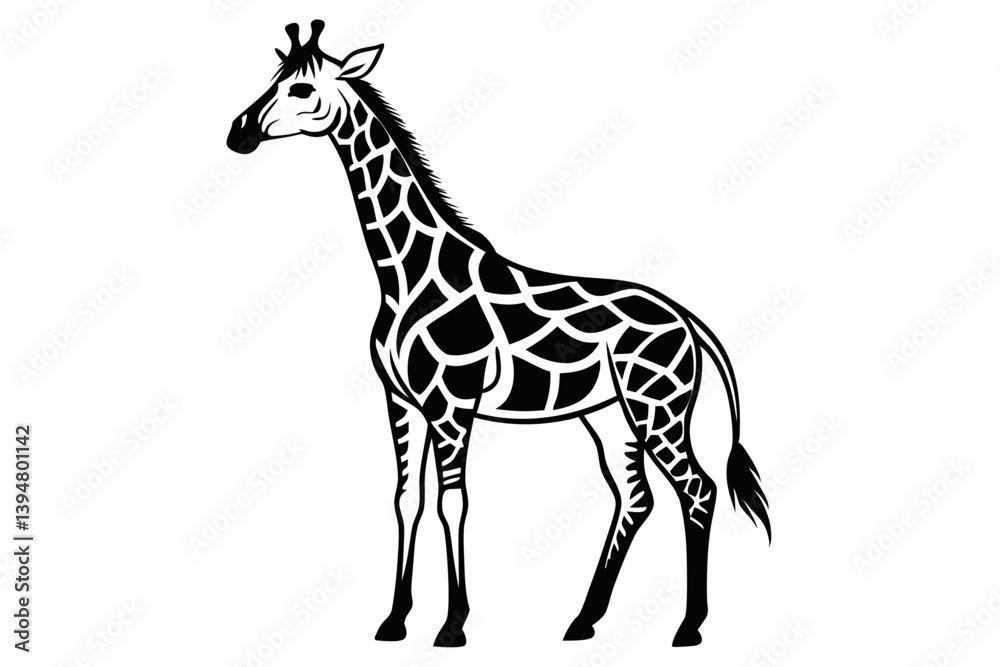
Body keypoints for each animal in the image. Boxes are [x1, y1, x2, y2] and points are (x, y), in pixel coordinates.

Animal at [227, 20, 771, 648]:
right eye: (273, 78)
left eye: (302, 88)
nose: (238, 133)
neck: (403, 274)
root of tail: (684, 316)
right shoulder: (400, 400)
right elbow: (406, 499)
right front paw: (394, 620)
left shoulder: (452, 401)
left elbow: (453, 502)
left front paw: (452, 625)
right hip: (609, 414)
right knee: (636, 497)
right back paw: (583, 620)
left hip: (658, 405)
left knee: (697, 491)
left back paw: (687, 627)